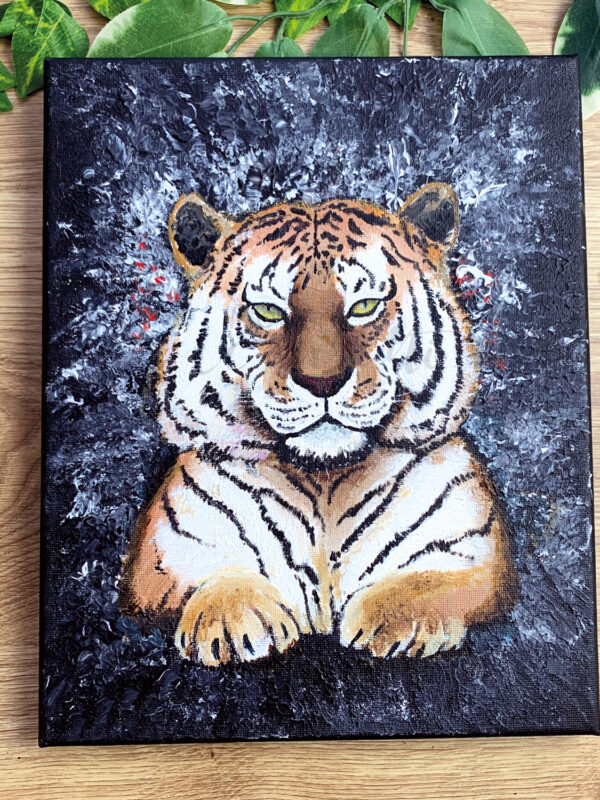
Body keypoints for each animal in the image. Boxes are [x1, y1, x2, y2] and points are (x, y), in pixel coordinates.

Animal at [120, 182, 517, 666]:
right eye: (268, 312)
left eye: (364, 307)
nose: (322, 381)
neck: (325, 480)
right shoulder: (163, 559)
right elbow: (217, 577)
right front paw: (235, 622)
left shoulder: (474, 553)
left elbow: (432, 582)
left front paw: (395, 620)